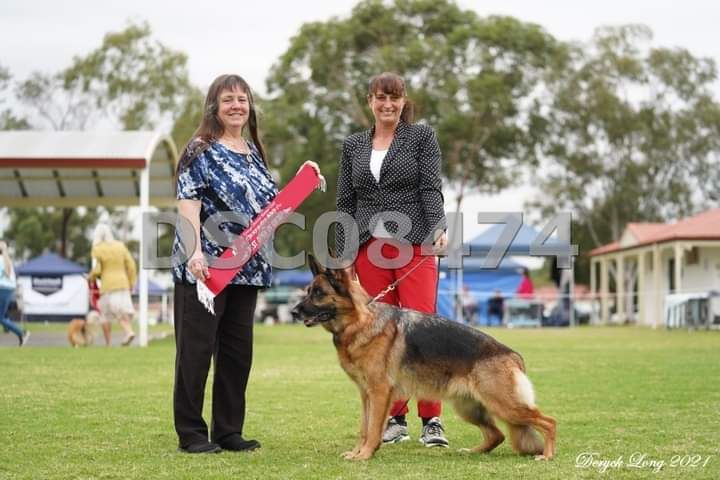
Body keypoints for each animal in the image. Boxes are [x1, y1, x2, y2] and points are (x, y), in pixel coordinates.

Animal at [292, 255, 556, 462]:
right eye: (308, 292)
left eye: (318, 293)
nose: (294, 312)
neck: (360, 321)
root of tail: (513, 356)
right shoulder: (366, 394)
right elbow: (364, 428)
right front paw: (358, 452)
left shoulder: (379, 393)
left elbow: (373, 428)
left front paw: (365, 455)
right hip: (469, 407)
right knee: (497, 435)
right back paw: (473, 451)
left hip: (504, 406)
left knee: (549, 421)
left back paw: (547, 455)